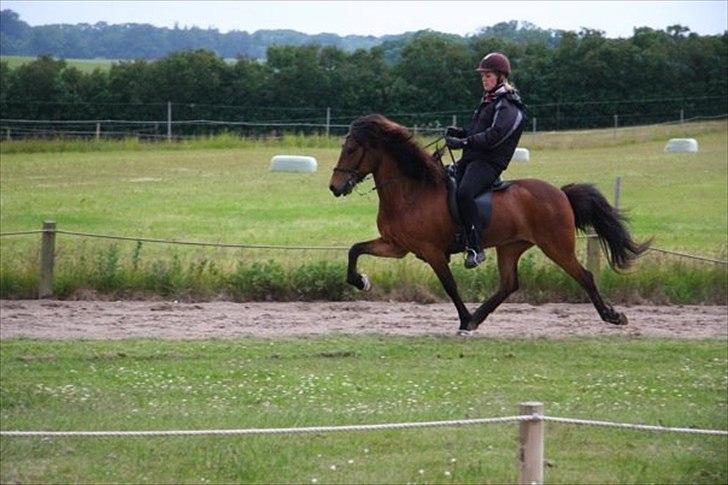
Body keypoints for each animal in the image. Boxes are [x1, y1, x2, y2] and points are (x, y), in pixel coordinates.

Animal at [328, 114, 648, 334]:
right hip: (511, 246)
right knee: (509, 284)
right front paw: (360, 281)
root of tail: (560, 193)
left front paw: (463, 318)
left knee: (584, 276)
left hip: (556, 246)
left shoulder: (432, 251)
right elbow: (355, 250)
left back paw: (612, 316)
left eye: (352, 149)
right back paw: (478, 318)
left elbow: (450, 286)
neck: (412, 190)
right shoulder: (396, 246)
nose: (334, 187)